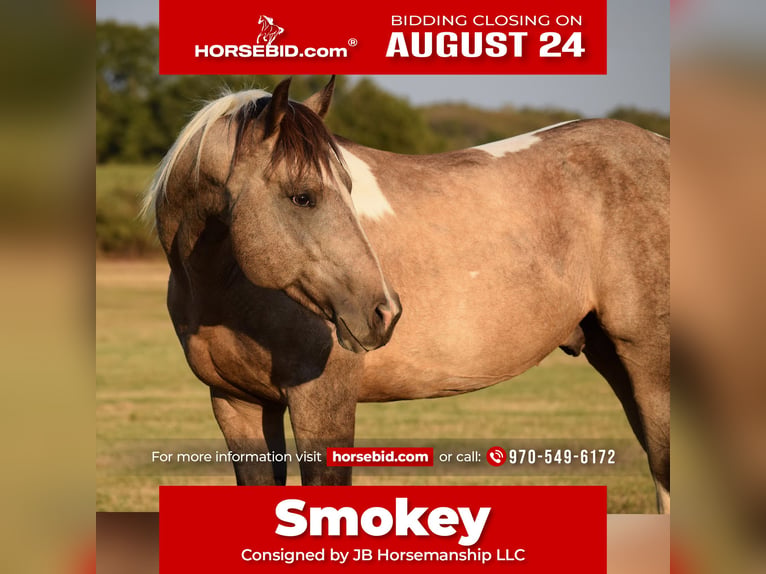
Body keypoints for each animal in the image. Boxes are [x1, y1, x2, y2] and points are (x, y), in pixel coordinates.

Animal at [144, 76, 670, 513]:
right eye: (302, 196)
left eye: (348, 188)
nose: (384, 312)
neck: (224, 286)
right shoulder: (237, 404)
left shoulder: (322, 401)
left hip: (650, 365)